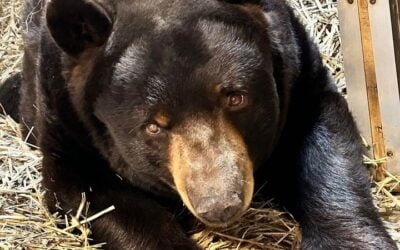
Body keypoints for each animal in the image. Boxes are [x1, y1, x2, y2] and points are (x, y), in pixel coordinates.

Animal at [0, 0, 396, 248]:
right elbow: (96, 197)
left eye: (236, 98)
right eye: (153, 126)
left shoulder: (296, 68)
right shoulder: (69, 119)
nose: (220, 204)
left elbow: (325, 152)